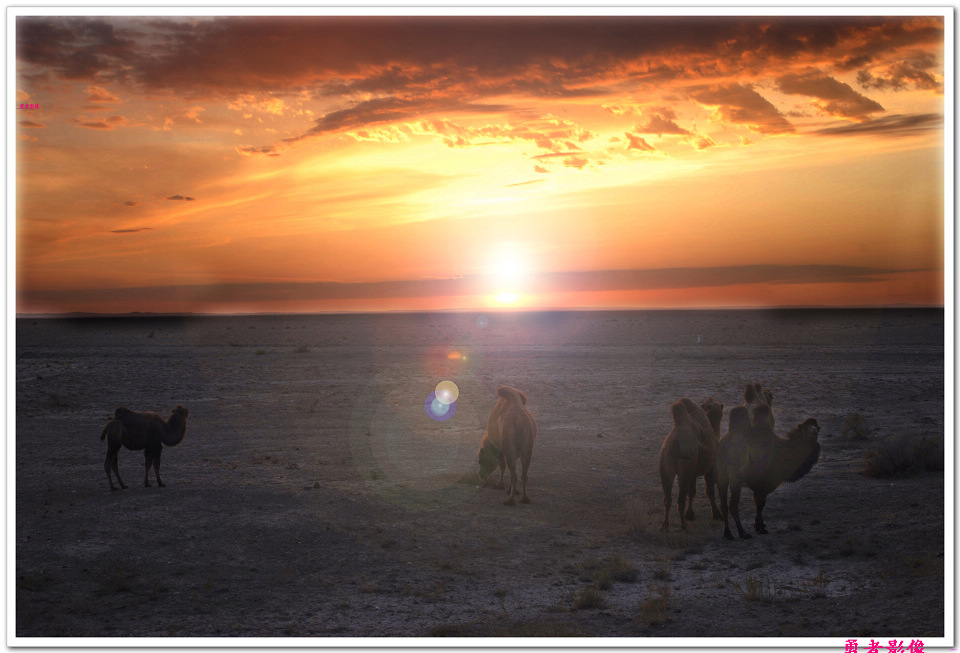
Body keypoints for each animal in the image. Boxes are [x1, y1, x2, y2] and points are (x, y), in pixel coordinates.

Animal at [660, 394, 728, 532]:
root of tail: (674, 442)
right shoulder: (711, 466)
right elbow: (710, 490)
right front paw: (717, 514)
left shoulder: (693, 471)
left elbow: (692, 492)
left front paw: (690, 514)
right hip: (685, 466)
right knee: (680, 499)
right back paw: (683, 526)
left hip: (666, 462)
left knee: (667, 498)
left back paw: (665, 525)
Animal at [716, 402, 820, 540]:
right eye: (806, 427)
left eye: (817, 427)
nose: (814, 431)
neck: (784, 451)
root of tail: (724, 445)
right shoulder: (765, 482)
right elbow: (761, 504)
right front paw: (761, 528)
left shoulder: (758, 486)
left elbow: (757, 503)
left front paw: (759, 526)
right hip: (735, 476)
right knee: (733, 505)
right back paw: (743, 533)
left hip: (721, 475)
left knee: (723, 504)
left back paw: (728, 534)